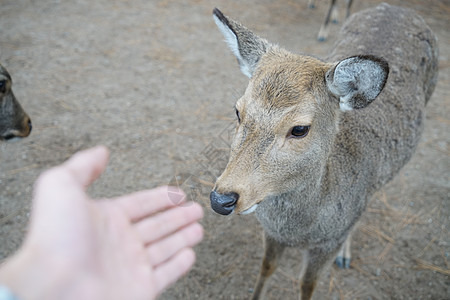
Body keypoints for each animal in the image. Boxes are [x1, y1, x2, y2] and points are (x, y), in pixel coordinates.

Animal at [209, 2, 438, 300]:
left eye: (299, 129)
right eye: (238, 111)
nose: (221, 199)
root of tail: (398, 8)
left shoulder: (328, 242)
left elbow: (308, 284)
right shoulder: (272, 233)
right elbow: (266, 267)